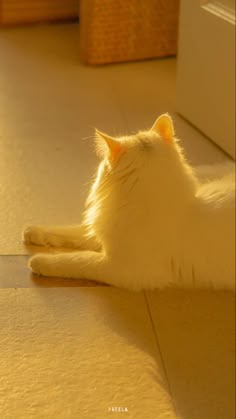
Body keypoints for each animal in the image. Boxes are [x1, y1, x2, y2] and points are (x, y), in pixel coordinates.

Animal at [23, 115, 234, 292]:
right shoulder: (105, 231)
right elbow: (71, 231)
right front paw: (33, 232)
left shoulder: (120, 268)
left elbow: (78, 260)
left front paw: (39, 261)